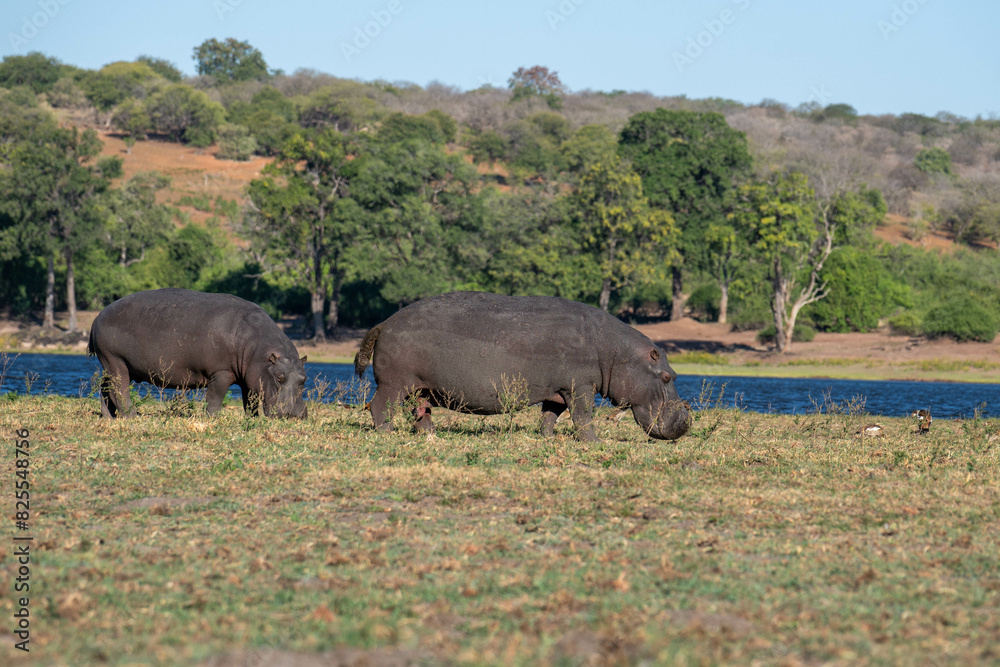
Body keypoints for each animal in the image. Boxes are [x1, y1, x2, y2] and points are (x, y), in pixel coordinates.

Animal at [87, 288, 307, 419]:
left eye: (304, 379)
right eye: (279, 377)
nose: (295, 415)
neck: (258, 347)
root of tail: (98, 315)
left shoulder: (250, 377)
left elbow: (250, 401)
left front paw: (251, 420)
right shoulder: (221, 372)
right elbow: (215, 398)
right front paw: (212, 419)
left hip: (118, 365)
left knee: (105, 388)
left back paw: (108, 417)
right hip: (115, 361)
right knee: (119, 389)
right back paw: (133, 416)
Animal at [353, 291, 690, 441]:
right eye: (666, 376)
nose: (685, 420)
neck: (616, 353)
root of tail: (384, 323)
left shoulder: (558, 389)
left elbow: (551, 415)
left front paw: (547, 438)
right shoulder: (581, 386)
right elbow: (583, 415)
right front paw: (594, 442)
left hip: (421, 387)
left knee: (421, 413)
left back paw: (432, 437)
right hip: (395, 384)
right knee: (380, 406)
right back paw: (387, 434)